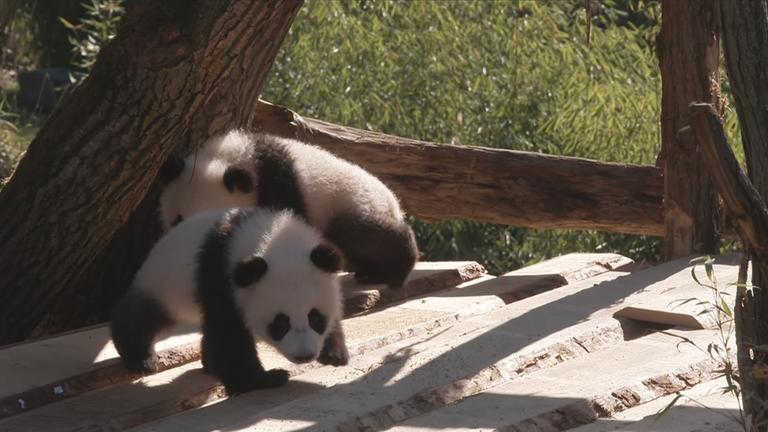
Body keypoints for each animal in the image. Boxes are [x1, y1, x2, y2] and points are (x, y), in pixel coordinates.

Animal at [110, 207, 344, 395]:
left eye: (315, 318)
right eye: (280, 323)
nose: (304, 356)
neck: (269, 236)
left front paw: (334, 354)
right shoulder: (220, 277)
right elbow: (229, 334)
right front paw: (264, 380)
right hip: (164, 285)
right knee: (142, 317)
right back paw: (142, 360)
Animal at [158, 130, 419, 290]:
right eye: (177, 220)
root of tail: (394, 202)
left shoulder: (278, 186)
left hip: (353, 202)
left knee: (363, 235)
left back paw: (396, 272)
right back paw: (371, 273)